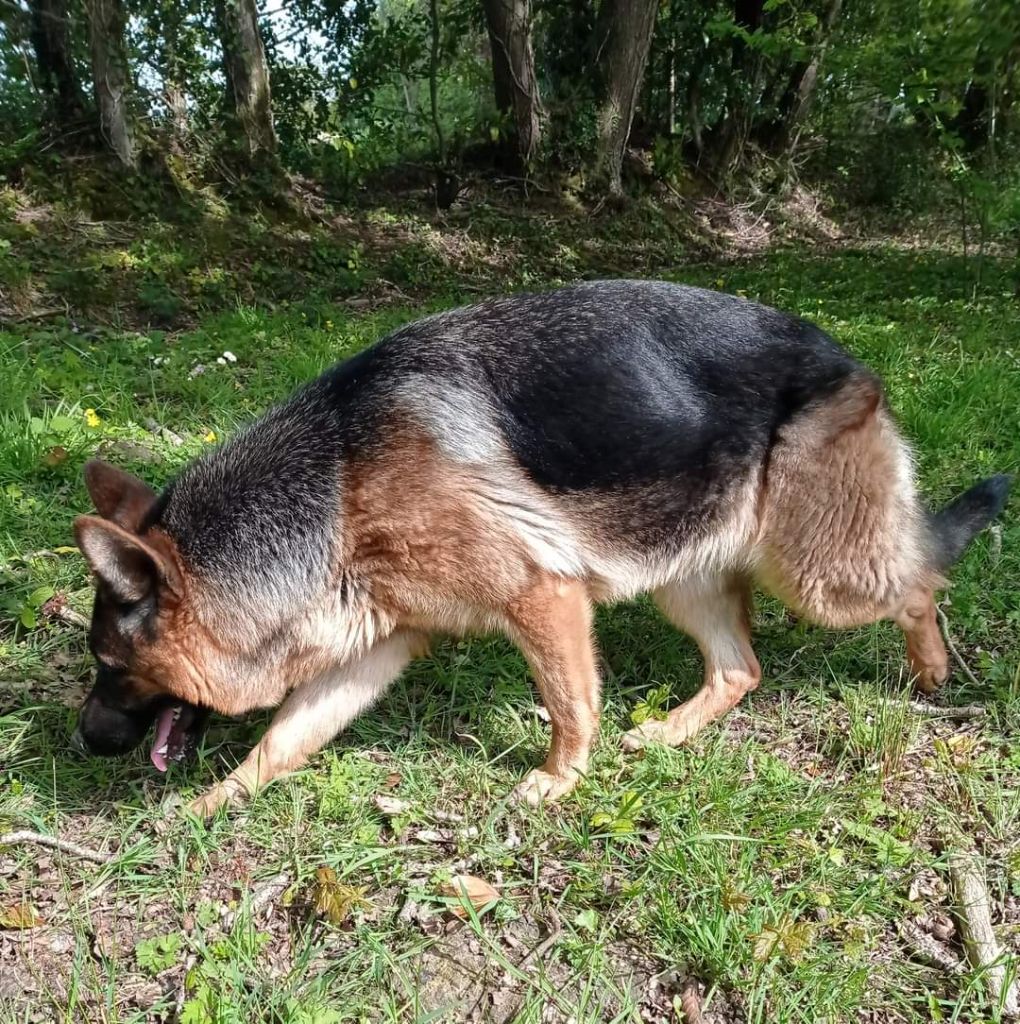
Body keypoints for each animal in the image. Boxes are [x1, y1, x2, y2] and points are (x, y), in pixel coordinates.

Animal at [71, 280, 1011, 815]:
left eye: (111, 668)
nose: (80, 742)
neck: (335, 488)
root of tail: (848, 357)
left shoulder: (542, 597)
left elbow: (569, 704)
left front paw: (559, 782)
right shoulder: (378, 647)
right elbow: (284, 738)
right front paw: (214, 804)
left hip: (818, 574)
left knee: (918, 580)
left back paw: (932, 670)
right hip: (682, 573)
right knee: (741, 669)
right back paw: (671, 732)